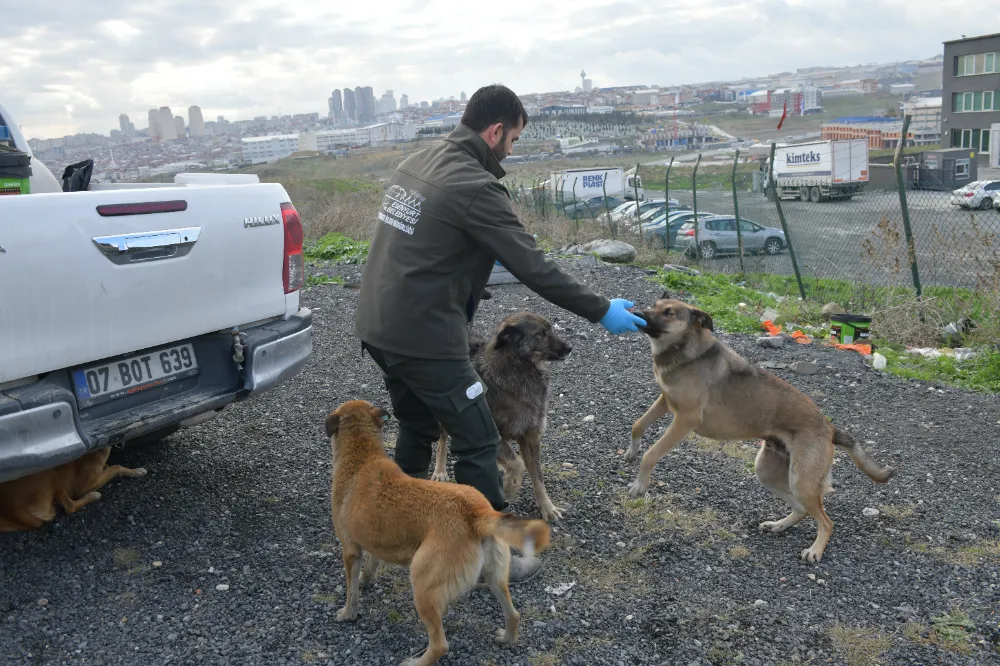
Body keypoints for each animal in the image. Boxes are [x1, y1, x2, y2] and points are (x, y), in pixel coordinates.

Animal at [0, 444, 148, 532]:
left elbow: (110, 467)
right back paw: (93, 496)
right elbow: (116, 467)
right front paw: (136, 471)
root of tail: (11, 509)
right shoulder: (84, 487)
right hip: (50, 474)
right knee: (70, 507)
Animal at [324, 400, 552, 664]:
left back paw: (416, 661)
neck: (361, 456)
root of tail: (475, 513)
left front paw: (348, 613)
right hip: (495, 576)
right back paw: (507, 638)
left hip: (423, 585)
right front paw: (365, 579)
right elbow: (371, 564)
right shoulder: (375, 540)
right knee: (514, 614)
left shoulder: (350, 549)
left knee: (440, 644)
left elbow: (351, 590)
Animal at [436, 308, 576, 520]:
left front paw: (547, 507)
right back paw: (440, 471)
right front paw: (510, 487)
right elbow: (518, 464)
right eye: (541, 334)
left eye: (550, 329)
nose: (569, 348)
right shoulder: (493, 435)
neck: (519, 369)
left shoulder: (531, 438)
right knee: (442, 439)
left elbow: (538, 478)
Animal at [628, 296, 896, 560]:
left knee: (827, 522)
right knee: (801, 509)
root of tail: (830, 429)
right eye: (653, 305)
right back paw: (778, 525)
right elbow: (637, 425)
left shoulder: (684, 420)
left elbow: (651, 454)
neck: (687, 351)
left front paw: (640, 485)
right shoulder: (665, 401)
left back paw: (815, 550)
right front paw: (632, 451)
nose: (635, 313)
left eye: (669, 313)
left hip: (801, 481)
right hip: (769, 471)